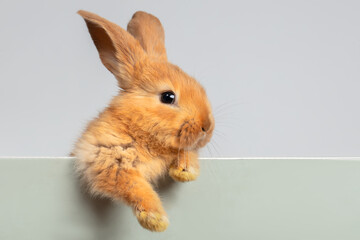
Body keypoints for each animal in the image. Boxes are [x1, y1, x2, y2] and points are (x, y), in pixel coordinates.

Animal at [72, 10, 214, 232]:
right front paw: (156, 220)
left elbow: (187, 152)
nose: (206, 126)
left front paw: (184, 172)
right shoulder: (108, 159)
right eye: (167, 97)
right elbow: (136, 187)